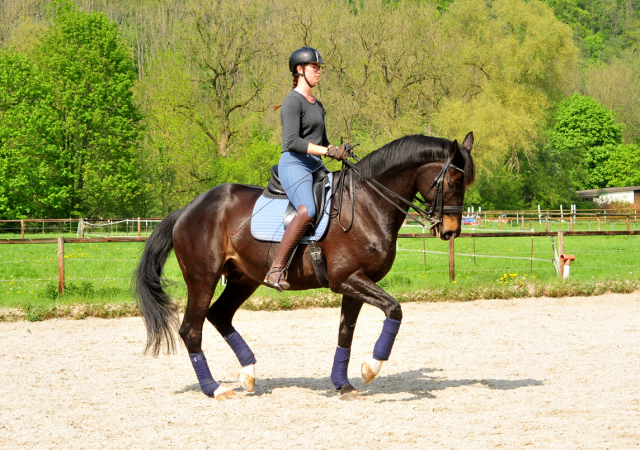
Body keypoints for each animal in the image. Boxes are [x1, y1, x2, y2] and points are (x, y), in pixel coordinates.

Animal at [135, 131, 476, 400]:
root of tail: (188, 208)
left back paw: (248, 373)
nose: (451, 231)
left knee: (220, 316)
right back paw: (215, 389)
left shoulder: (355, 284)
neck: (368, 203)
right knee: (191, 330)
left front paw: (343, 384)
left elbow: (345, 333)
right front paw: (371, 368)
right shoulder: (347, 279)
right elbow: (395, 309)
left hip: (244, 278)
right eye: (453, 182)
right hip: (203, 278)